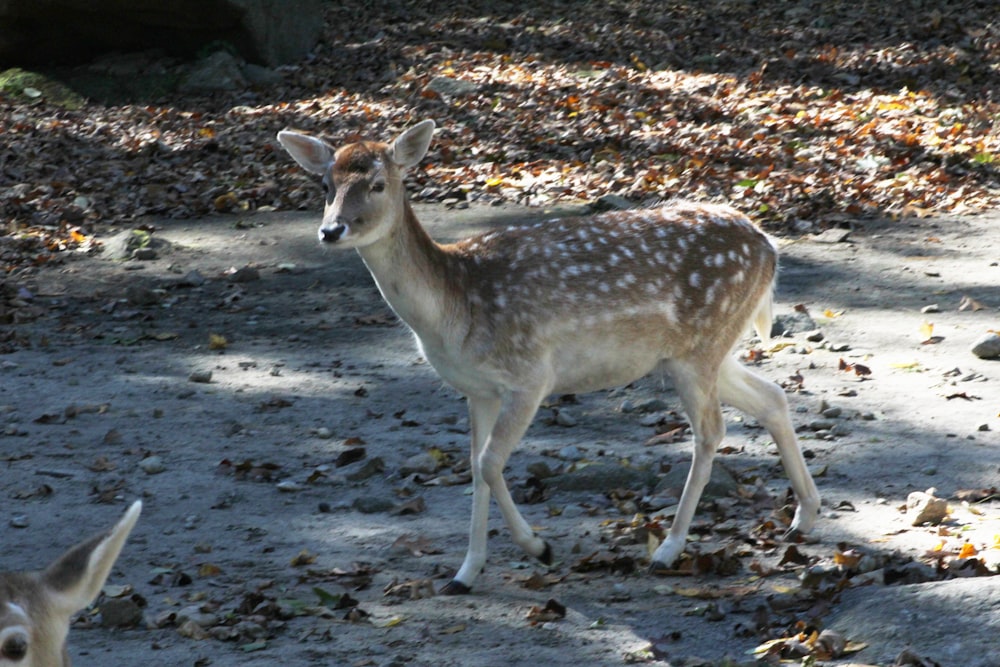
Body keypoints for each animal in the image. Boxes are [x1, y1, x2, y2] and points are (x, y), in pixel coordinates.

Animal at [278, 120, 824, 596]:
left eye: (376, 184)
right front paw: (464, 574)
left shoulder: (531, 375)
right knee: (773, 396)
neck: (456, 306)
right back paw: (805, 515)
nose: (331, 230)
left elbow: (490, 463)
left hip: (701, 346)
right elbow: (474, 467)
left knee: (712, 431)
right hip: (698, 353)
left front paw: (538, 548)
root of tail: (769, 246)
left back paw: (668, 549)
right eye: (325, 184)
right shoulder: (477, 390)